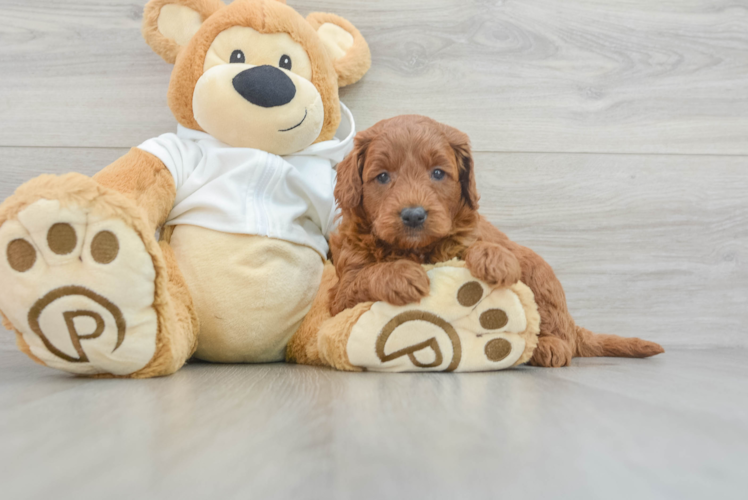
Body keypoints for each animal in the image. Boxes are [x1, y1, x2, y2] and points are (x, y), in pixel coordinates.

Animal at [330, 117, 664, 368]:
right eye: (382, 177)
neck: (417, 249)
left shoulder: (473, 235)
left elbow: (482, 244)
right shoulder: (340, 295)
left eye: (438, 173)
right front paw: (399, 274)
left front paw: (494, 258)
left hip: (541, 276)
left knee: (561, 333)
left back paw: (549, 346)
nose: (413, 215)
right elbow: (365, 277)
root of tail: (573, 324)